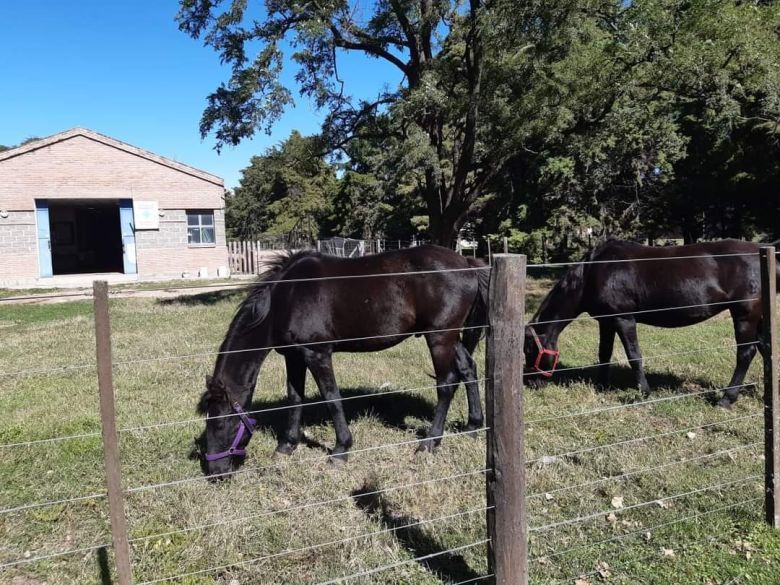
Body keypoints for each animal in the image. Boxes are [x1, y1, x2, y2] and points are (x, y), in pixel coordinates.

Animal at [198, 244, 488, 476]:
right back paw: (473, 426)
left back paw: (430, 443)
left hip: (439, 336)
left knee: (446, 384)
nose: (215, 471)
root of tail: (466, 262)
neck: (285, 298)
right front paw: (286, 446)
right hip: (450, 337)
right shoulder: (294, 356)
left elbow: (332, 398)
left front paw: (341, 450)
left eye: (220, 423)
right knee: (468, 369)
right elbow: (295, 399)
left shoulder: (317, 354)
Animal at [524, 237, 780, 406]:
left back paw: (727, 399)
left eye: (529, 350)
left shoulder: (624, 319)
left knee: (745, 354)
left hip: (745, 316)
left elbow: (634, 355)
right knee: (765, 348)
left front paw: (644, 393)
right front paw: (601, 385)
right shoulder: (606, 321)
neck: (593, 273)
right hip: (758, 318)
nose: (532, 384)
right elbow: (604, 353)